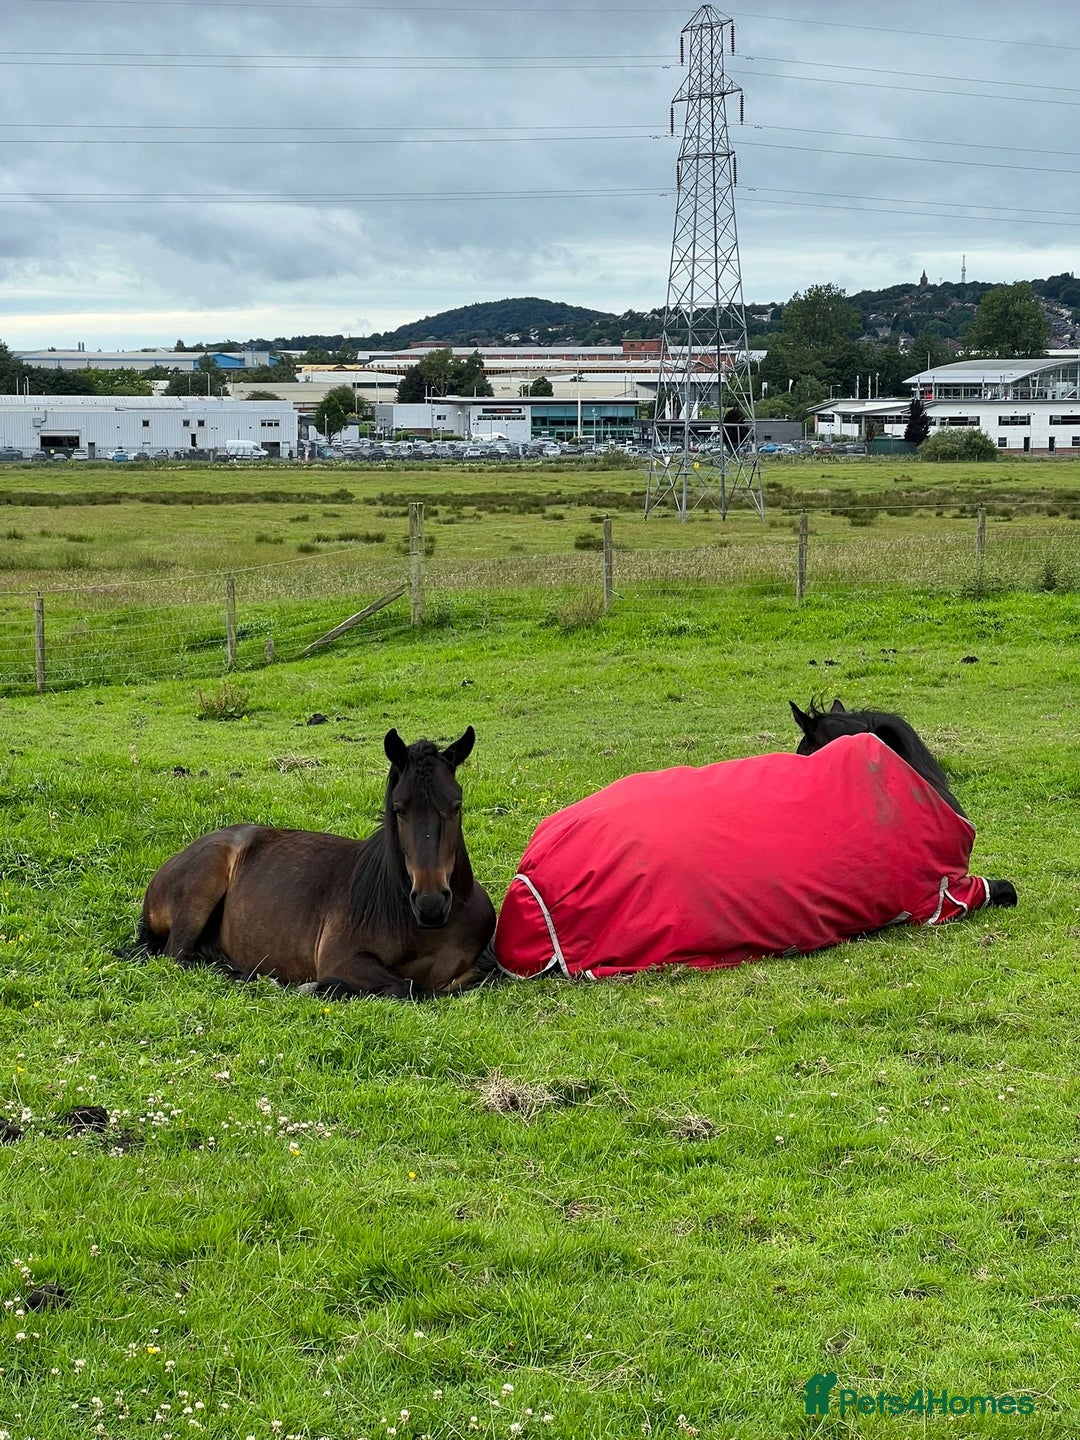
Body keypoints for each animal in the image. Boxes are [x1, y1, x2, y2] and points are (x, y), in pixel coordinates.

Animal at [136, 726, 496, 998]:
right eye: (398, 808)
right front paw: (315, 987)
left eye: (456, 804)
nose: (430, 904)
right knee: (177, 956)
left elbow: (472, 979)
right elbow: (408, 987)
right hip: (203, 884)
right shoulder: (343, 959)